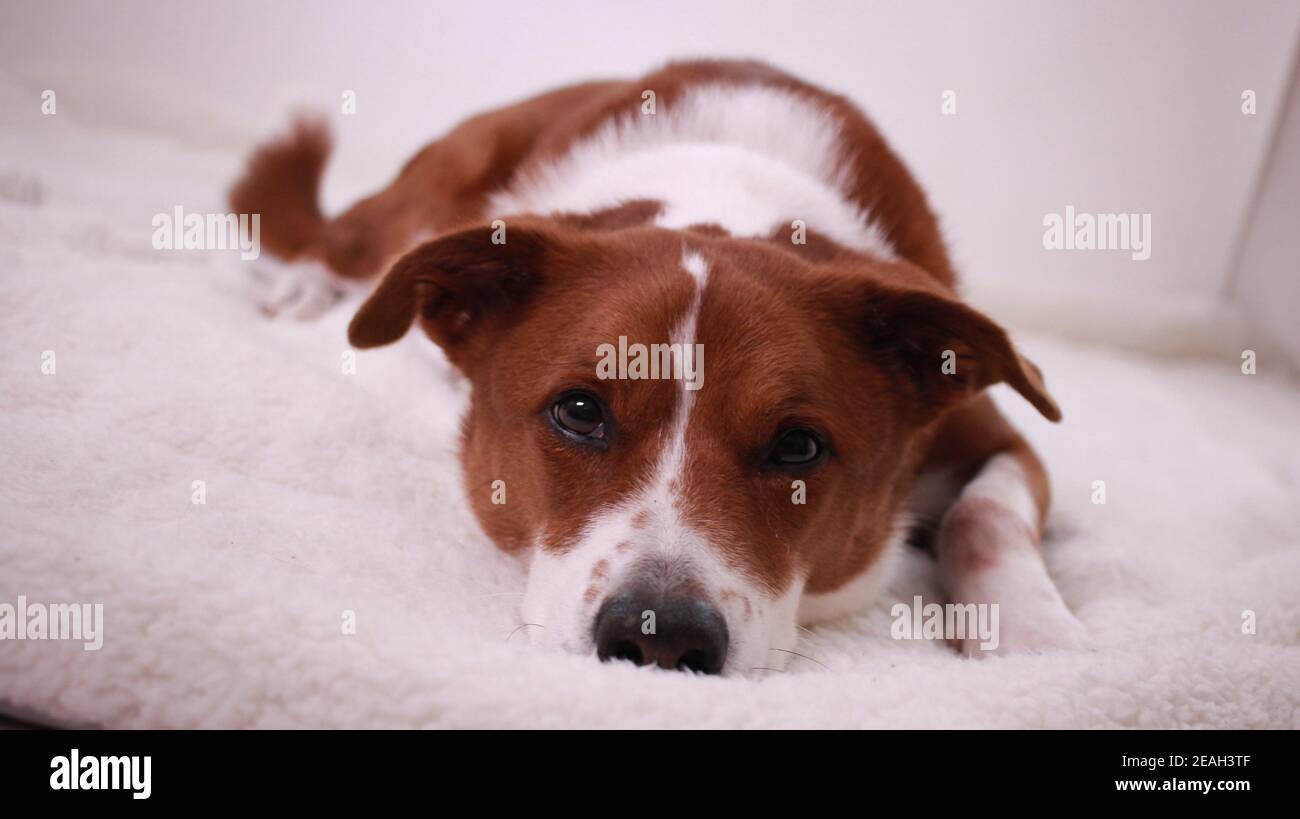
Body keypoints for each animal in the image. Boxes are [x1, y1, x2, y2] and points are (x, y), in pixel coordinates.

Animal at [231, 56, 1086, 676]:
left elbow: (983, 514)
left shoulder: (991, 434)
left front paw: (1038, 640)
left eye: (798, 445)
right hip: (437, 185)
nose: (661, 639)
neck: (730, 192)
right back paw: (304, 287)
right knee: (345, 237)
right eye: (580, 410)